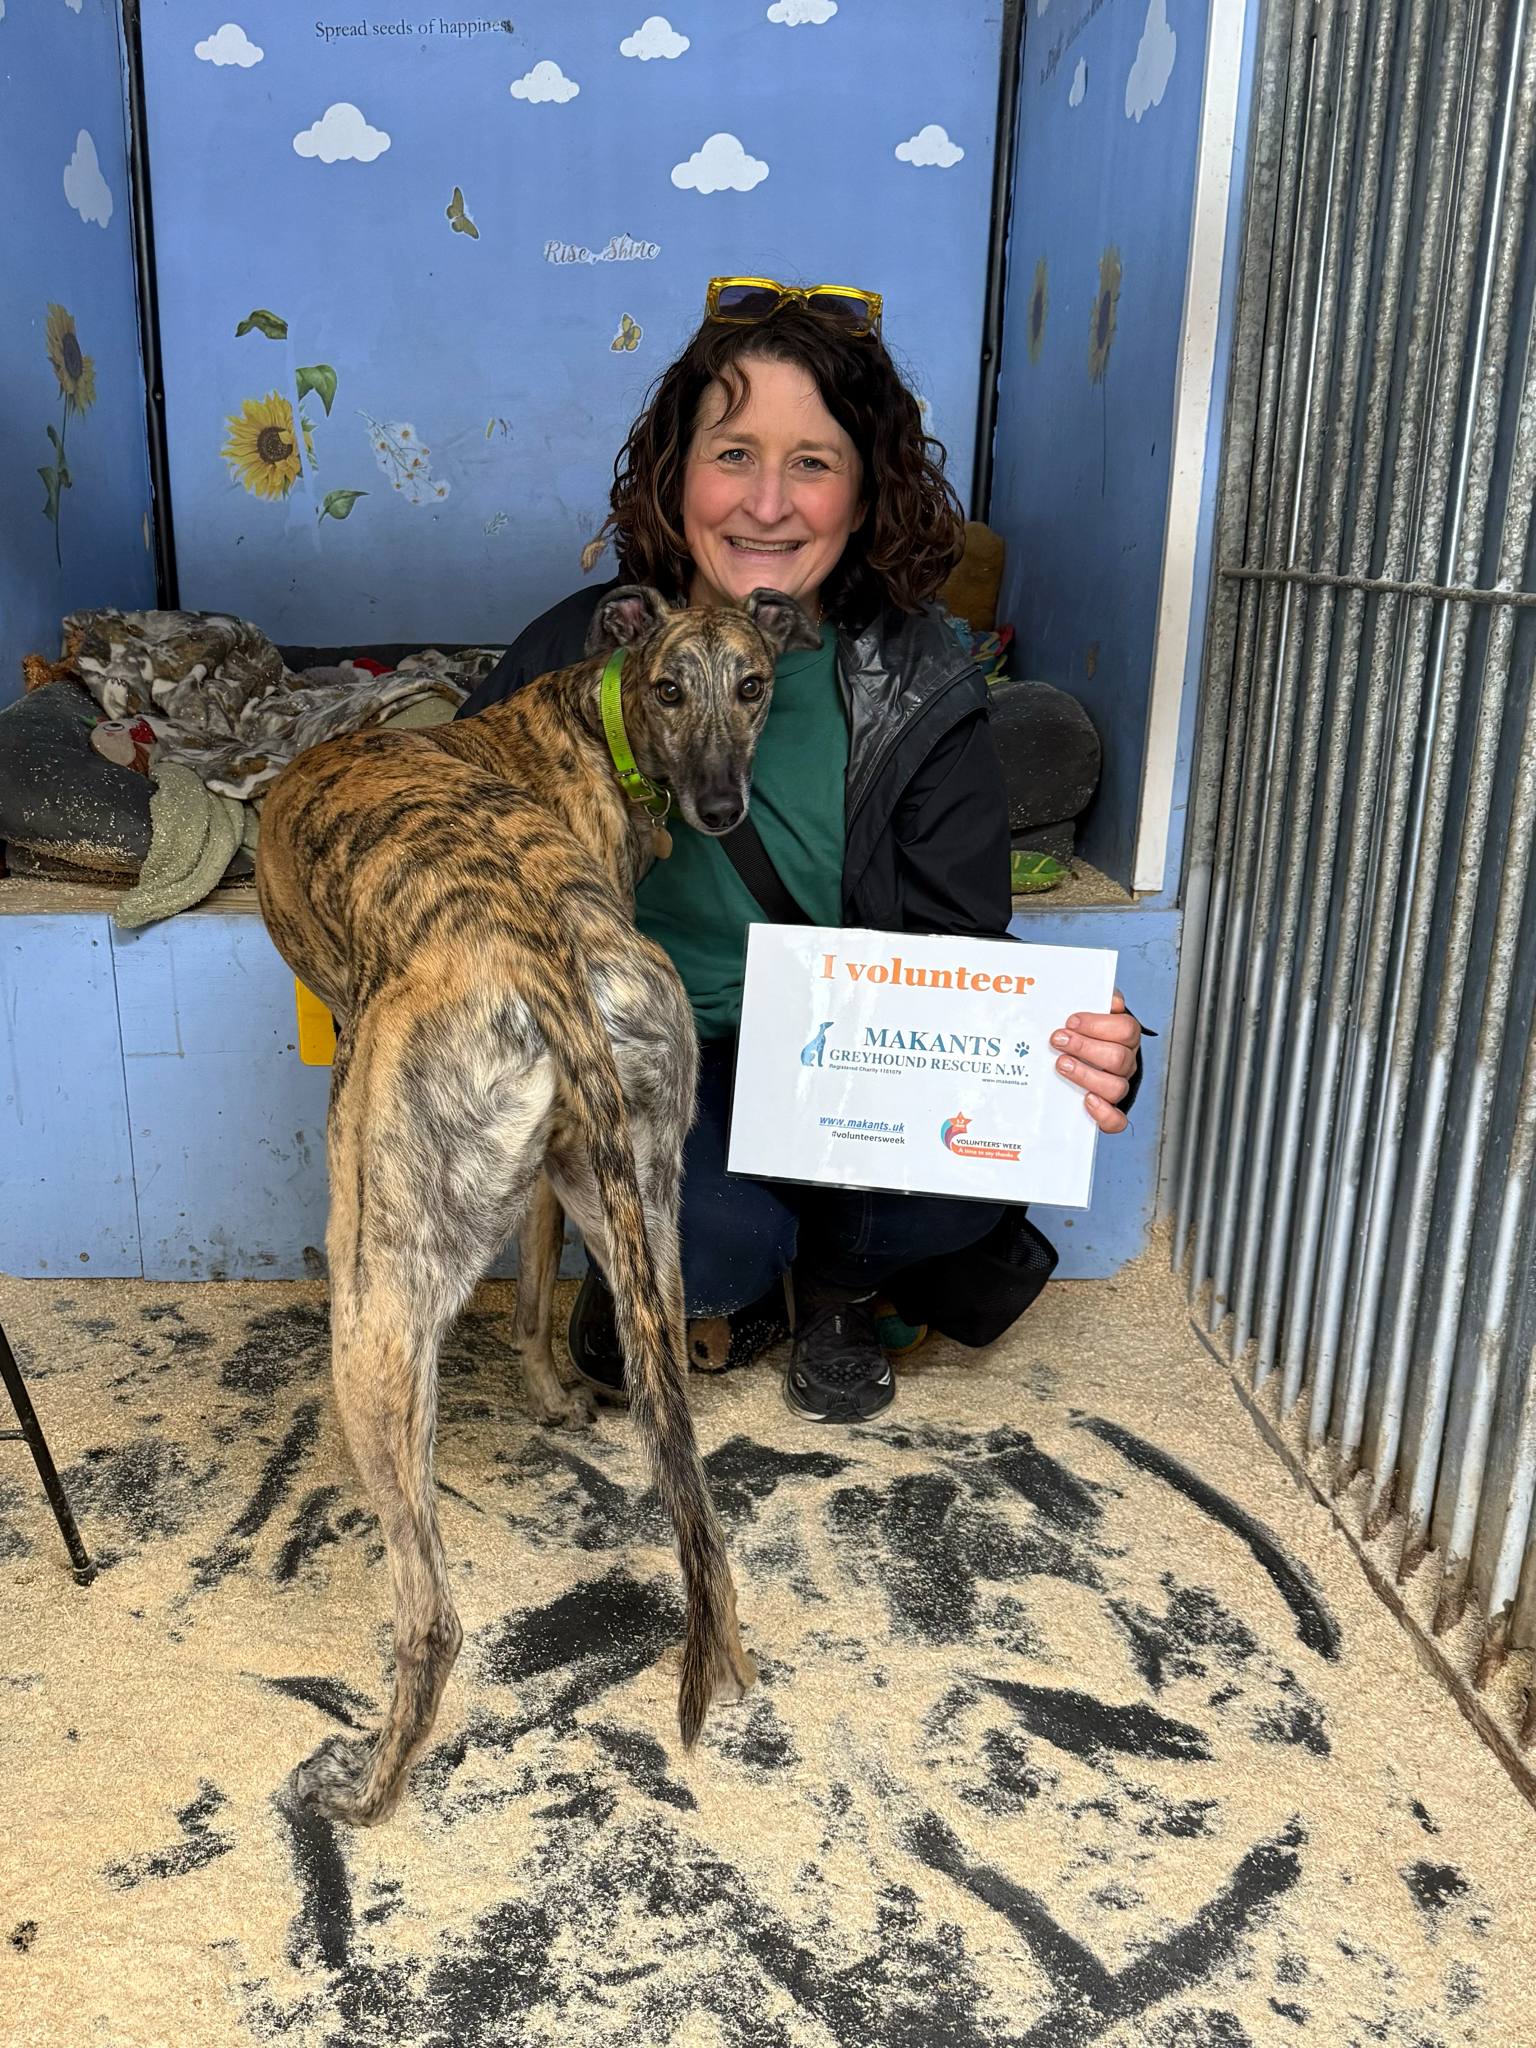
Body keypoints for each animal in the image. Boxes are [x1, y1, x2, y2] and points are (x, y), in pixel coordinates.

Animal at [255, 583, 818, 1824]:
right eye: (674, 687)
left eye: (754, 685)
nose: (723, 805)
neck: (587, 721)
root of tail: (543, 957)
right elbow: (532, 1292)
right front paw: (556, 1395)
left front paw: (545, 1392)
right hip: (648, 1221)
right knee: (699, 1508)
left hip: (377, 1291)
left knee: (432, 1614)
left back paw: (363, 1791)